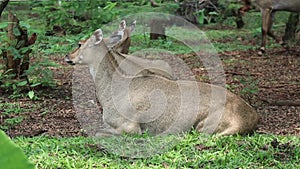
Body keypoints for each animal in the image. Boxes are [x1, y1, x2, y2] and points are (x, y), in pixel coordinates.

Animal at [65, 27, 258, 136]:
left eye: (80, 44)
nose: (67, 56)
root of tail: (249, 118)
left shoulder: (130, 127)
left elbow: (97, 133)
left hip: (201, 127)